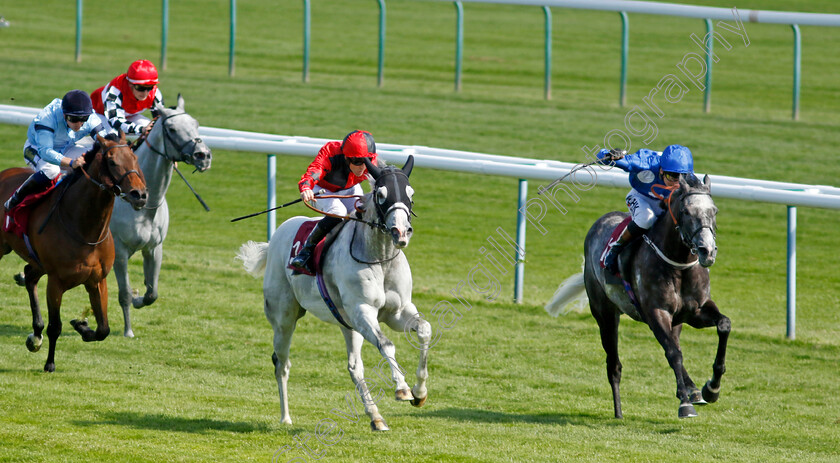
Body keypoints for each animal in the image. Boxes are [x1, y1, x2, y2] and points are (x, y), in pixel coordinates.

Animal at [0, 132, 148, 372]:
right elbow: (55, 327)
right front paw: (50, 364)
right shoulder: (56, 281)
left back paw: (35, 334)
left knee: (30, 276)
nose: (140, 195)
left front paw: (81, 325)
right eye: (112, 162)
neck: (85, 229)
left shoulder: (97, 280)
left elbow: (103, 329)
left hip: (38, 262)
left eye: (134, 158)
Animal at [238, 158, 430, 434]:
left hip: (348, 324)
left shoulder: (397, 312)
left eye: (410, 194)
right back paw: (286, 417)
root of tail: (276, 237)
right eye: (381, 195)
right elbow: (387, 344)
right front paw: (403, 388)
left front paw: (420, 392)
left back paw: (376, 417)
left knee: (354, 367)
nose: (401, 232)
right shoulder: (362, 311)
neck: (380, 258)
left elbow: (425, 329)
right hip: (285, 318)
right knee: (282, 363)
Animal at [544, 175, 728, 420]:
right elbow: (673, 354)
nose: (707, 251)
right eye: (687, 211)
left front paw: (712, 388)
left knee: (675, 341)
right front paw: (684, 403)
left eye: (714, 210)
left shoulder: (695, 311)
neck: (677, 264)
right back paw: (619, 411)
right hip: (604, 313)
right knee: (614, 365)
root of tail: (600, 222)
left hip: (675, 321)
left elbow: (723, 325)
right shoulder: (655, 312)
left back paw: (694, 389)